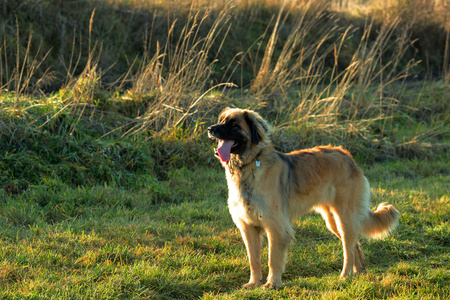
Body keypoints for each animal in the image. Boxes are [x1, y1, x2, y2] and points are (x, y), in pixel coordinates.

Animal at [208, 107, 400, 288]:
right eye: (221, 121)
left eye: (234, 124)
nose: (210, 129)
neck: (248, 166)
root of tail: (346, 155)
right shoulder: (248, 227)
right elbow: (253, 260)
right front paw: (255, 283)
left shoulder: (276, 226)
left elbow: (273, 259)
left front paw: (272, 284)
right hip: (333, 221)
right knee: (354, 244)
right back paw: (359, 271)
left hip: (343, 217)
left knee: (348, 247)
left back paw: (346, 275)